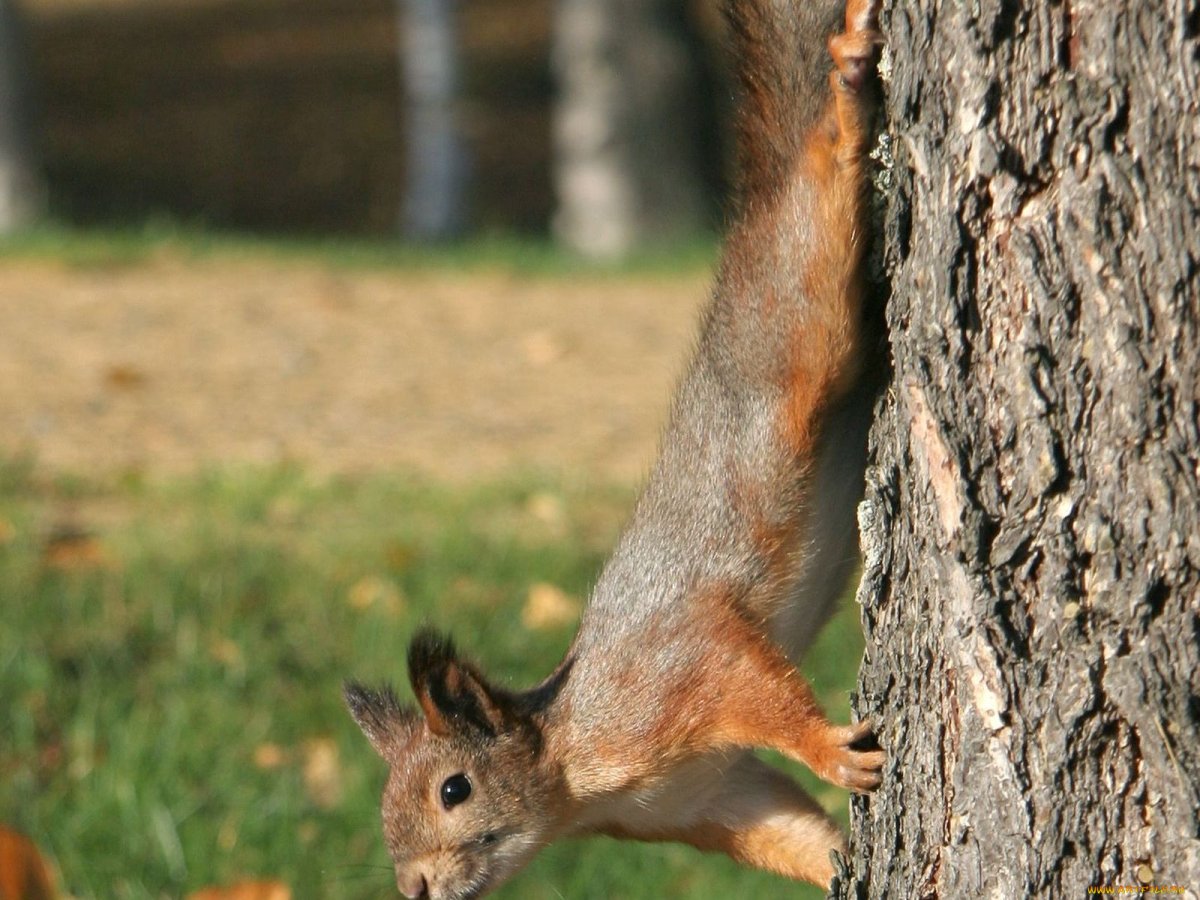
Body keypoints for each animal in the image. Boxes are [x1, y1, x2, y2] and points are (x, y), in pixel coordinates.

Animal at [345, 0, 885, 896]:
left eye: (455, 788)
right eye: (387, 809)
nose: (413, 886)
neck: (575, 770)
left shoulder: (675, 669)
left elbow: (755, 685)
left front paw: (831, 752)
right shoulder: (711, 798)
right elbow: (791, 829)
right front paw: (843, 859)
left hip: (796, 310)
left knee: (817, 195)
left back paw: (843, 95)